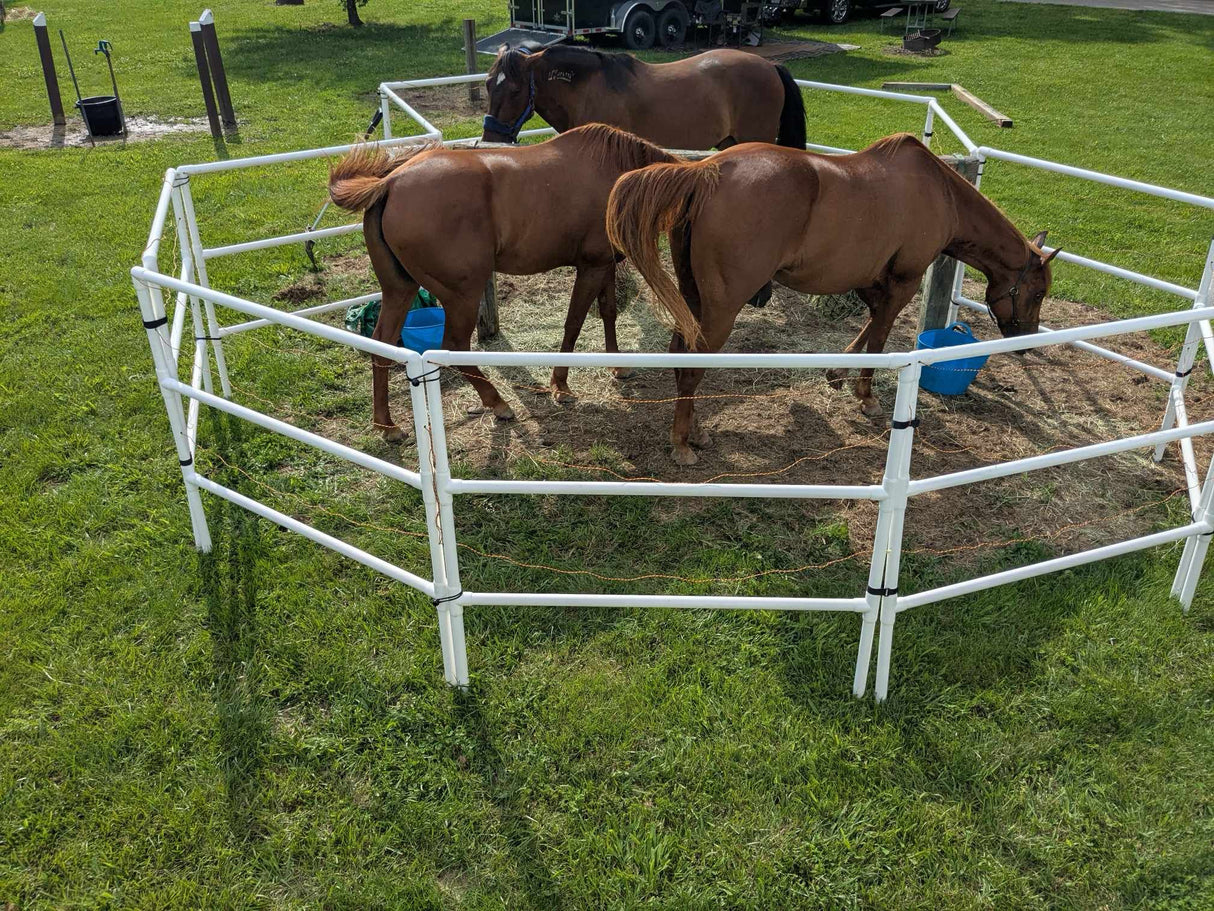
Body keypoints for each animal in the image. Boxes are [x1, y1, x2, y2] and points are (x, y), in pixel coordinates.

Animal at [327, 124, 678, 441]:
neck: (616, 174)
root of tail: (390, 183)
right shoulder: (591, 267)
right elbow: (574, 323)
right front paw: (561, 385)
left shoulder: (603, 265)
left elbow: (608, 312)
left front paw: (617, 366)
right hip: (462, 296)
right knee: (454, 345)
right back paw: (497, 403)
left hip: (401, 289)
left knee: (382, 345)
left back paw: (386, 425)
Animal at [606, 133, 1061, 465]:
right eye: (1038, 291)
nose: (1025, 339)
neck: (939, 192)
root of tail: (706, 171)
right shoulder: (905, 280)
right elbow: (880, 337)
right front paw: (866, 396)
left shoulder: (872, 280)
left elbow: (871, 323)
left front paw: (837, 372)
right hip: (721, 308)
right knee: (692, 366)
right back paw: (682, 444)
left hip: (693, 298)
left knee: (679, 354)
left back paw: (695, 432)